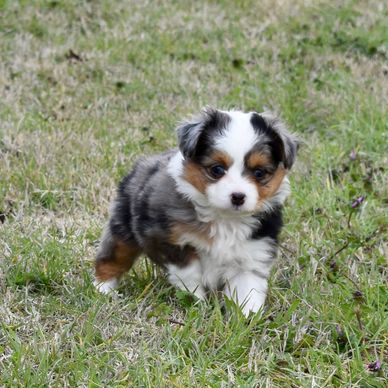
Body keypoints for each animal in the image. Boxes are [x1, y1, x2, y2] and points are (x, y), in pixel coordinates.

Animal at [93, 107, 298, 316]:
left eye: (259, 173)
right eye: (217, 169)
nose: (238, 196)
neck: (225, 219)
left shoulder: (253, 253)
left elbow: (247, 290)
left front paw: (247, 318)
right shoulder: (172, 242)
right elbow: (190, 275)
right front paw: (197, 303)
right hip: (123, 228)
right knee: (112, 258)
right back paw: (103, 290)